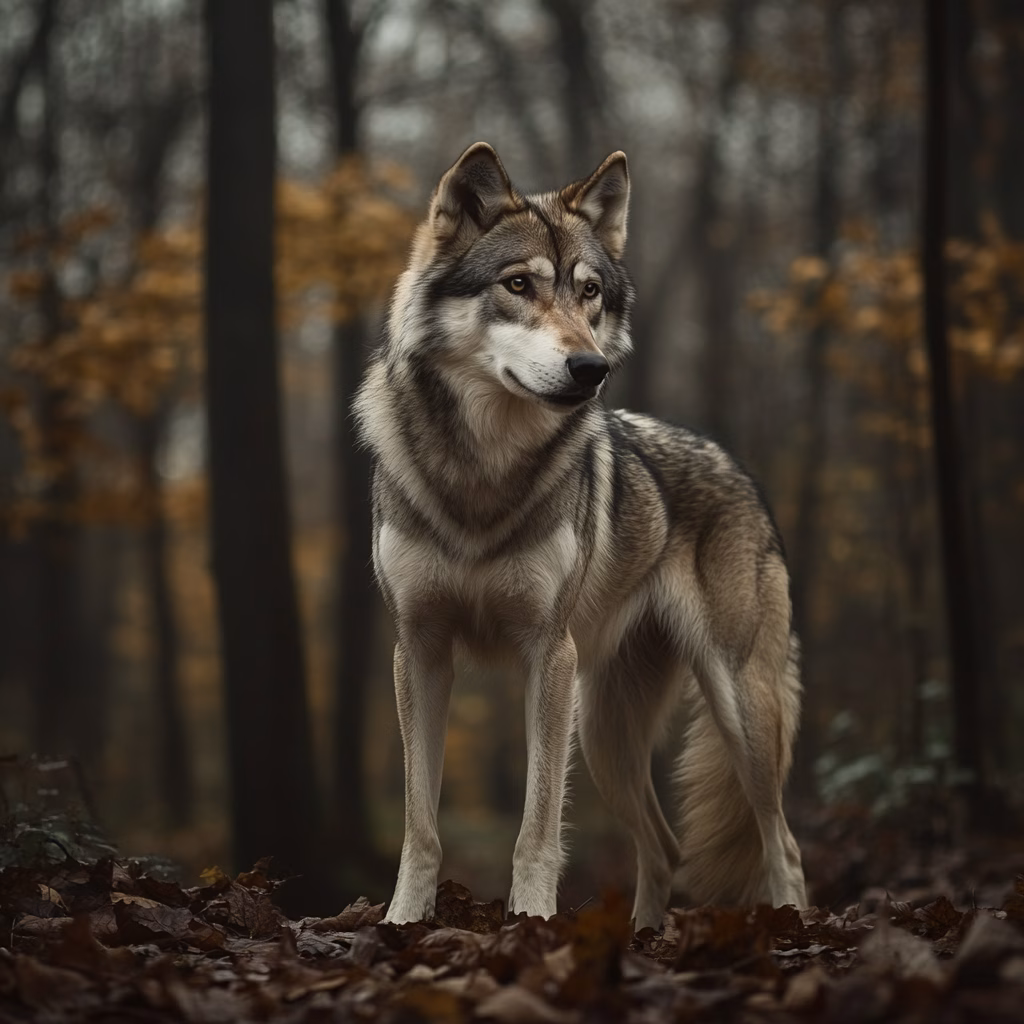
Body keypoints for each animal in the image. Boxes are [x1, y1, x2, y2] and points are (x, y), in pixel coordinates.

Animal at [354, 142, 807, 930]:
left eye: (590, 293)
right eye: (518, 284)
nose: (590, 367)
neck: (484, 471)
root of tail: (737, 468)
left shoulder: (548, 656)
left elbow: (536, 828)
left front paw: (532, 924)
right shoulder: (420, 651)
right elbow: (421, 826)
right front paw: (403, 925)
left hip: (734, 708)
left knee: (781, 842)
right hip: (603, 736)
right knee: (664, 847)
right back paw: (643, 935)